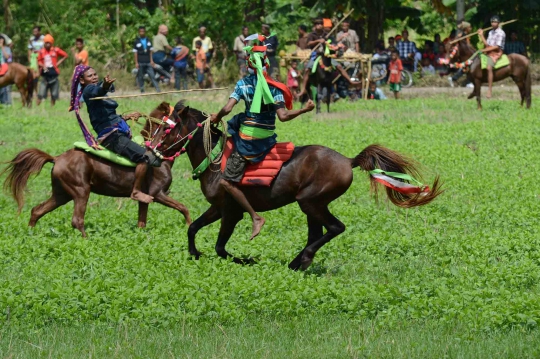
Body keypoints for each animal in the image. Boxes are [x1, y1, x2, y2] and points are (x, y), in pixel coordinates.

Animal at [0, 101, 192, 238]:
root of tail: (57, 158)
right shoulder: (158, 194)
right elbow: (184, 208)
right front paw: (190, 226)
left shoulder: (146, 200)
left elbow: (142, 222)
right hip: (80, 191)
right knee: (77, 220)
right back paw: (86, 240)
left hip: (61, 194)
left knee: (37, 210)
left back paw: (30, 234)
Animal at [161, 101, 442, 270]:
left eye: (167, 130)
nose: (154, 153)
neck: (214, 162)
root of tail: (347, 161)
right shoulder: (218, 208)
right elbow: (193, 228)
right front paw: (194, 253)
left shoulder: (231, 212)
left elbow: (220, 247)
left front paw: (247, 259)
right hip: (312, 204)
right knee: (317, 234)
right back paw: (298, 261)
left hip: (310, 201)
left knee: (335, 228)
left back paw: (302, 259)